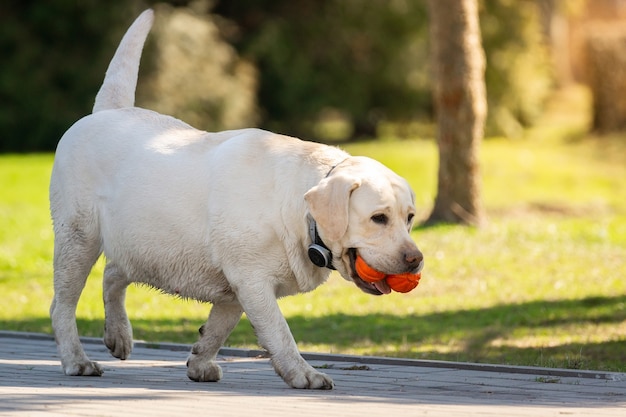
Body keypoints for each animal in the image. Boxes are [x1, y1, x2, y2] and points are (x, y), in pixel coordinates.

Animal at [48, 8, 420, 388]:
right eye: (378, 218)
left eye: (409, 218)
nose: (416, 260)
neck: (299, 214)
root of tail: (106, 111)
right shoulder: (252, 280)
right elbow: (279, 332)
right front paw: (303, 373)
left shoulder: (237, 286)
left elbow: (219, 328)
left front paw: (200, 362)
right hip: (79, 239)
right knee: (62, 305)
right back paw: (76, 360)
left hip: (140, 243)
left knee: (113, 274)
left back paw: (118, 335)